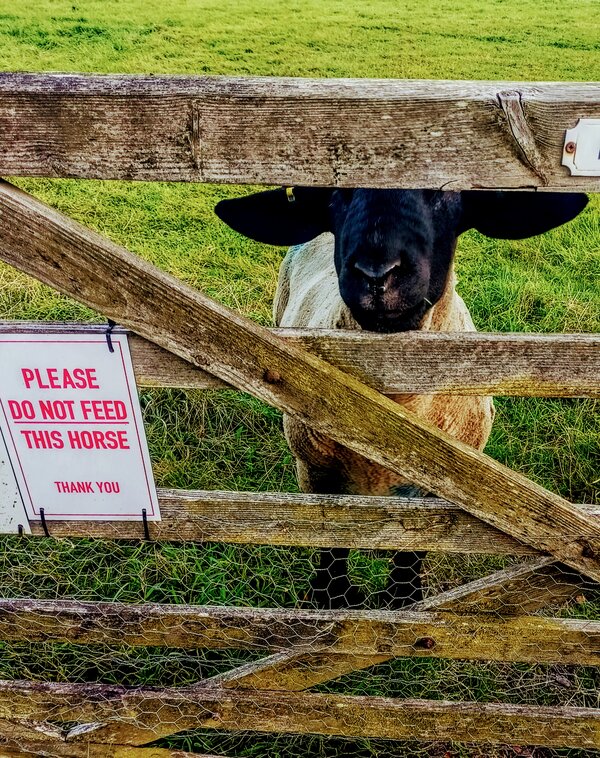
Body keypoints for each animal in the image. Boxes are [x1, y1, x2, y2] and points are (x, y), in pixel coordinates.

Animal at [216, 188, 588, 609]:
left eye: (449, 197)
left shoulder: (443, 490)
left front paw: (403, 599)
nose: (376, 274)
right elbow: (330, 538)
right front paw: (331, 597)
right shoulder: (315, 473)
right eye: (334, 198)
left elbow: (416, 547)